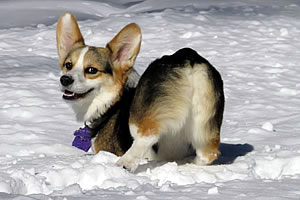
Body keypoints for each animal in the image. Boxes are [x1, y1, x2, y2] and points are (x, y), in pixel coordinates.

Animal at [57, 12, 224, 172]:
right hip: (204, 121)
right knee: (208, 153)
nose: (64, 79)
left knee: (145, 136)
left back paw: (123, 164)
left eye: (91, 70)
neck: (113, 103)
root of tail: (187, 57)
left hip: (142, 116)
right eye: (68, 65)